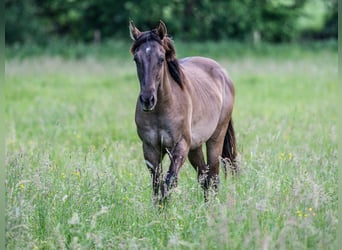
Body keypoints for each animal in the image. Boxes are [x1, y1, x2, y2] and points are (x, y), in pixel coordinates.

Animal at [129, 20, 238, 202]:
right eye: (136, 59)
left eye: (161, 59)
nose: (147, 99)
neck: (162, 108)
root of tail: (223, 74)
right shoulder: (150, 149)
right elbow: (157, 186)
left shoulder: (180, 145)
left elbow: (169, 182)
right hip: (195, 147)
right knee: (204, 176)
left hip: (215, 138)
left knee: (213, 176)